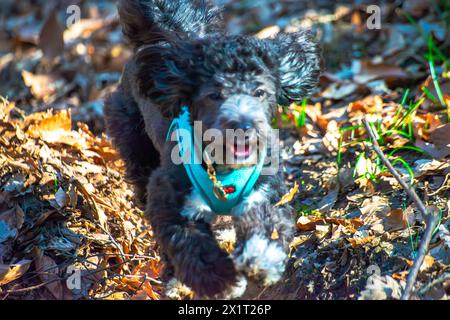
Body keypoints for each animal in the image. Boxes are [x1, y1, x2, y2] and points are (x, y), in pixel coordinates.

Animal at [103, 0, 322, 298]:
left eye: (260, 92)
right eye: (214, 95)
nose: (243, 126)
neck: (224, 168)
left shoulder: (264, 192)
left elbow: (269, 226)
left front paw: (261, 258)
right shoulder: (170, 200)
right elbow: (190, 245)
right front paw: (221, 279)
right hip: (133, 142)